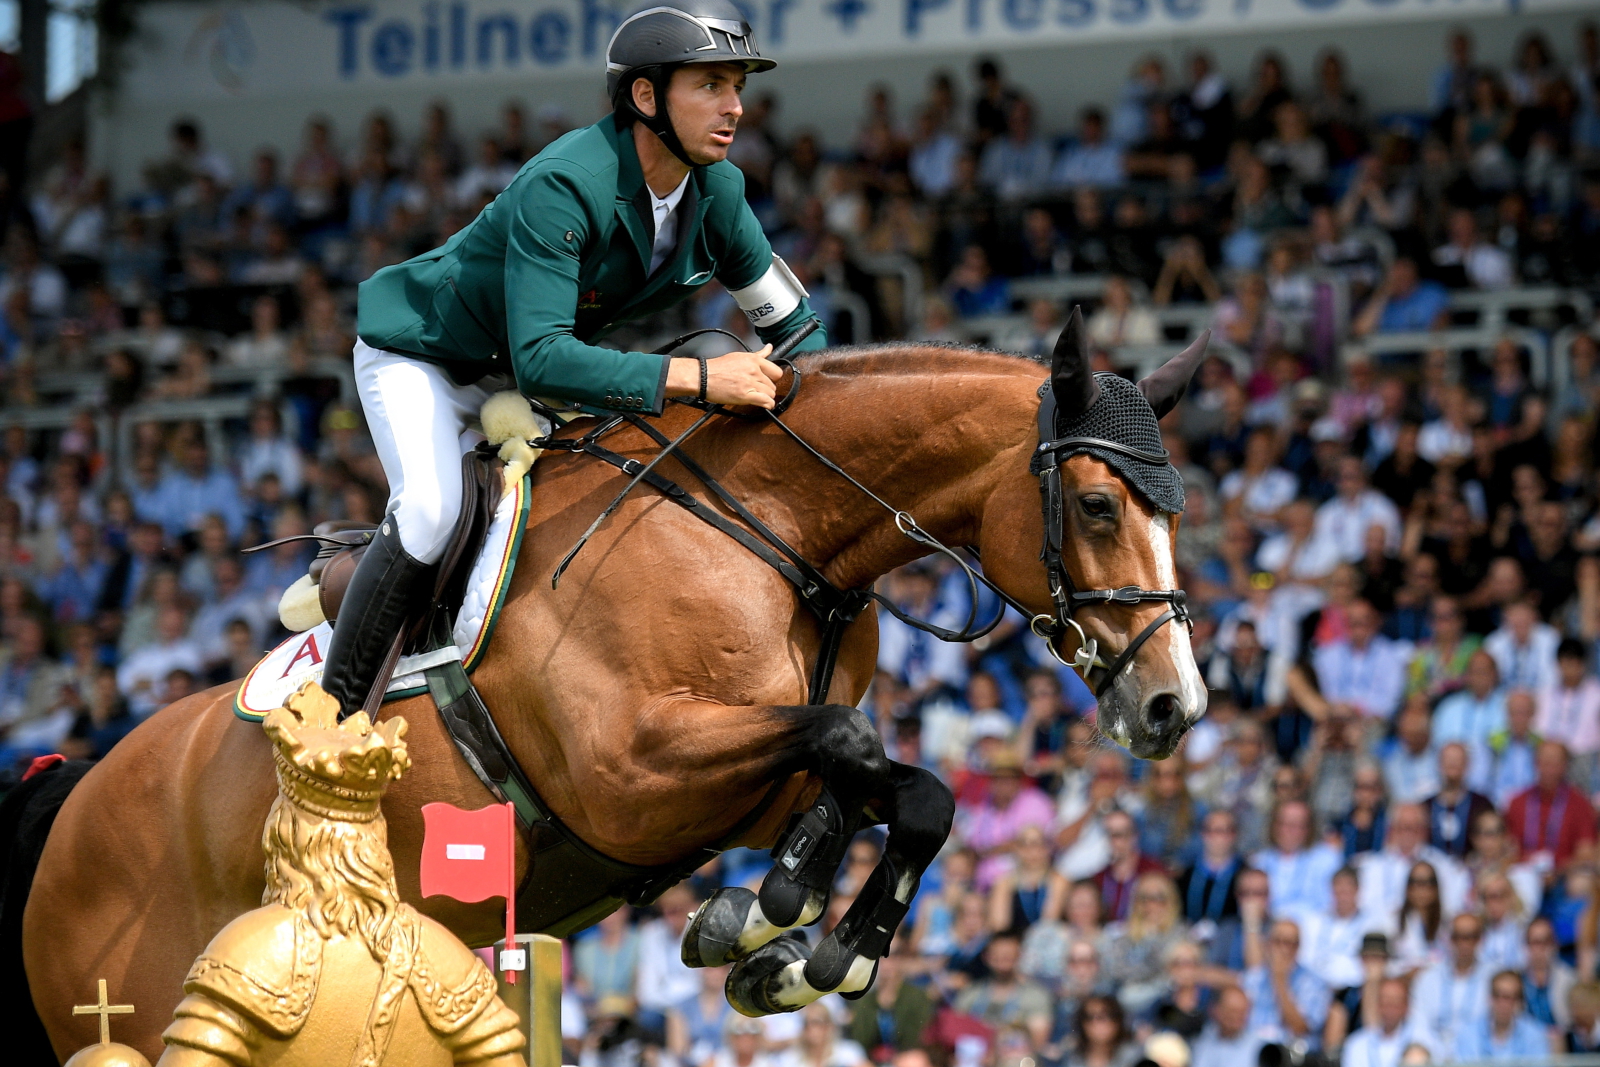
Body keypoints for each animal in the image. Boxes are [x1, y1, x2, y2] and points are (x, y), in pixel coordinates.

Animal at [6, 313, 1203, 1062]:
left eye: (1175, 510)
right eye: (1099, 505)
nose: (1173, 706)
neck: (775, 531)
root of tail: (73, 795)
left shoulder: (739, 778)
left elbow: (901, 784)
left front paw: (787, 949)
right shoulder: (630, 772)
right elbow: (852, 744)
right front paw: (781, 921)